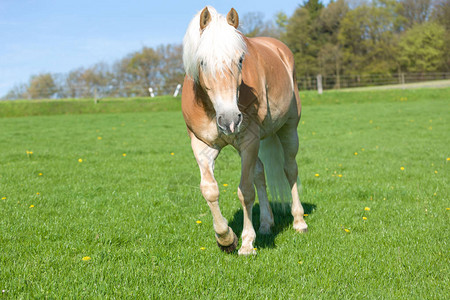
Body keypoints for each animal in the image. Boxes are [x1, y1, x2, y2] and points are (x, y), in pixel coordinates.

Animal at [181, 6, 308, 255]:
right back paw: (266, 224)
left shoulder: (249, 141)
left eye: (240, 60)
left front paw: (247, 242)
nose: (230, 120)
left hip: (288, 130)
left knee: (290, 170)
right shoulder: (202, 146)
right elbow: (210, 190)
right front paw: (226, 238)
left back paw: (299, 222)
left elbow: (245, 191)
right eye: (202, 62)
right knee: (260, 173)